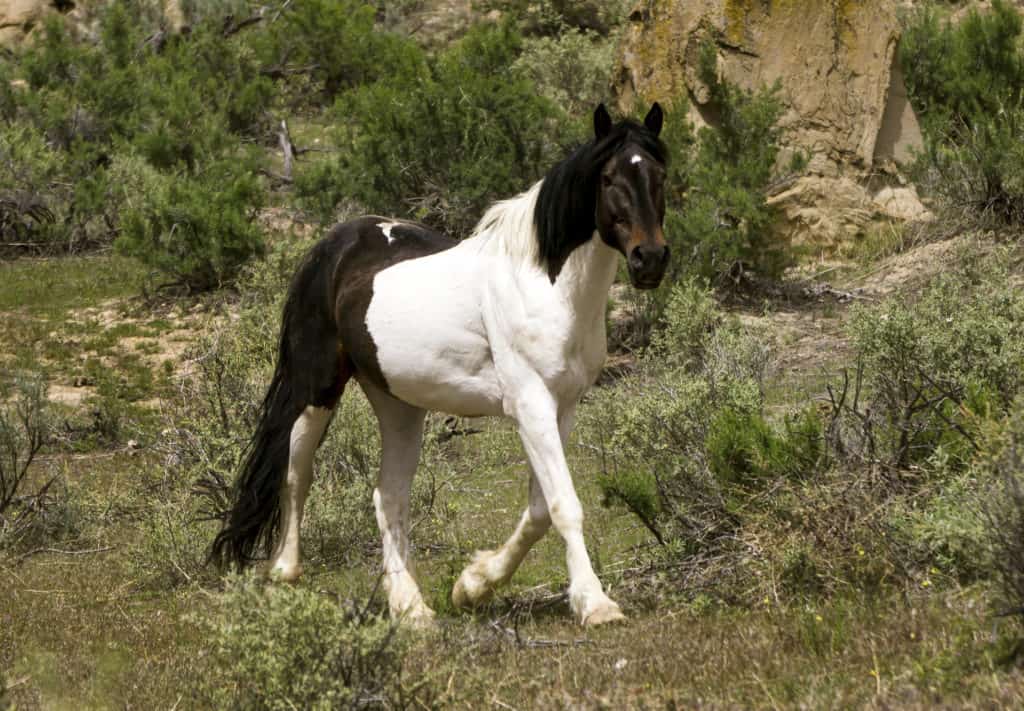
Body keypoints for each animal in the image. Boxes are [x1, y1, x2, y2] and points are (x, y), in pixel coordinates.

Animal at [210, 103, 669, 626]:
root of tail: (332, 245)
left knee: (387, 496)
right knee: (295, 470)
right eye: (609, 177)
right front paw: (595, 604)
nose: (651, 259)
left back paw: (409, 605)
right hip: (316, 390)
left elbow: (537, 510)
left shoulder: (562, 407)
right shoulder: (530, 404)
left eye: (660, 175)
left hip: (399, 407)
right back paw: (286, 570)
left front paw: (473, 585)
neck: (545, 285)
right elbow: (563, 504)